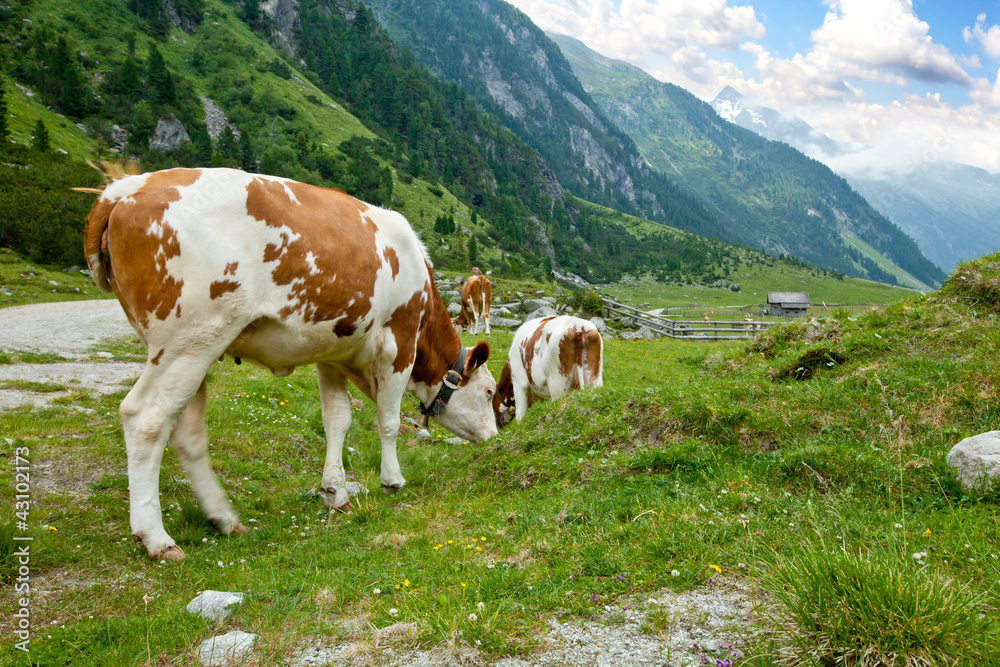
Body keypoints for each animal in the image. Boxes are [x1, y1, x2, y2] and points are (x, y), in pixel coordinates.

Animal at [78, 166, 500, 560]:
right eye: (489, 390)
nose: (495, 437)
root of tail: (126, 187)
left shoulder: (333, 353)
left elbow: (337, 420)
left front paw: (335, 491)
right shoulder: (399, 341)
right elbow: (389, 420)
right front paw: (392, 480)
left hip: (193, 349)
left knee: (187, 429)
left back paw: (223, 518)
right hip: (189, 338)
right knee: (145, 419)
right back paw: (156, 536)